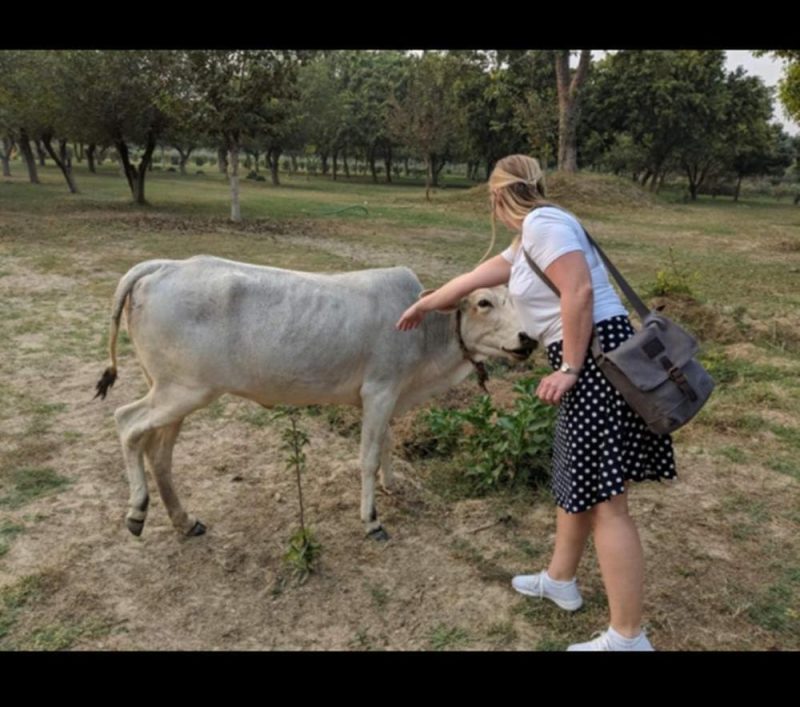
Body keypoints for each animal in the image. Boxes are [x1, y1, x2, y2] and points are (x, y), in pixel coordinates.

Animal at [97, 258, 536, 540]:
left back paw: (184, 521)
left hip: (174, 392)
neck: (424, 330)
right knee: (126, 423)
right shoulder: (379, 390)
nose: (528, 338)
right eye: (483, 302)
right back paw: (137, 509)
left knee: (159, 453)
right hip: (183, 391)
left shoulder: (386, 396)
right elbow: (368, 456)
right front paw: (371, 519)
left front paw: (392, 485)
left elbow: (388, 442)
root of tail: (164, 266)